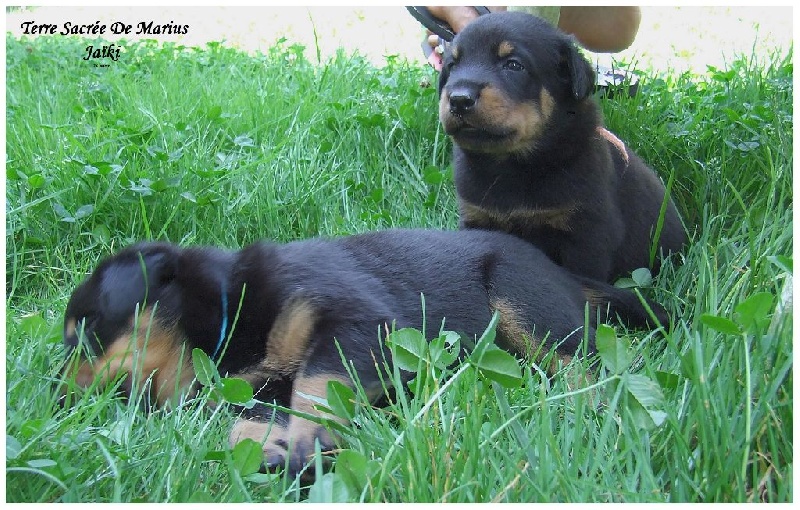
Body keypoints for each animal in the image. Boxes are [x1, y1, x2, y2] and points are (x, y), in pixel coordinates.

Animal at [59, 228, 664, 478]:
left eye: (79, 332)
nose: (56, 396)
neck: (232, 302)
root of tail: (566, 276)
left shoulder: (356, 322)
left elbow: (316, 386)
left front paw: (307, 448)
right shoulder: (256, 386)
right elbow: (248, 420)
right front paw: (275, 449)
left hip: (520, 297)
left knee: (587, 369)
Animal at [438, 10, 688, 282]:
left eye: (514, 65)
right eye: (452, 66)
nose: (459, 99)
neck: (511, 166)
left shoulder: (587, 235)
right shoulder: (477, 217)